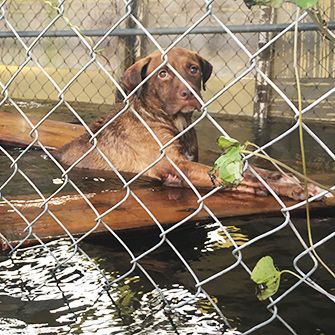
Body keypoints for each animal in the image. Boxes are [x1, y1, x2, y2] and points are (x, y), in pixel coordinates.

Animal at [57, 48, 320, 201]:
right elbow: (242, 176)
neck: (173, 121)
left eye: (193, 69)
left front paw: (281, 177)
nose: (189, 93)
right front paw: (292, 188)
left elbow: (249, 169)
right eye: (163, 73)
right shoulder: (175, 164)